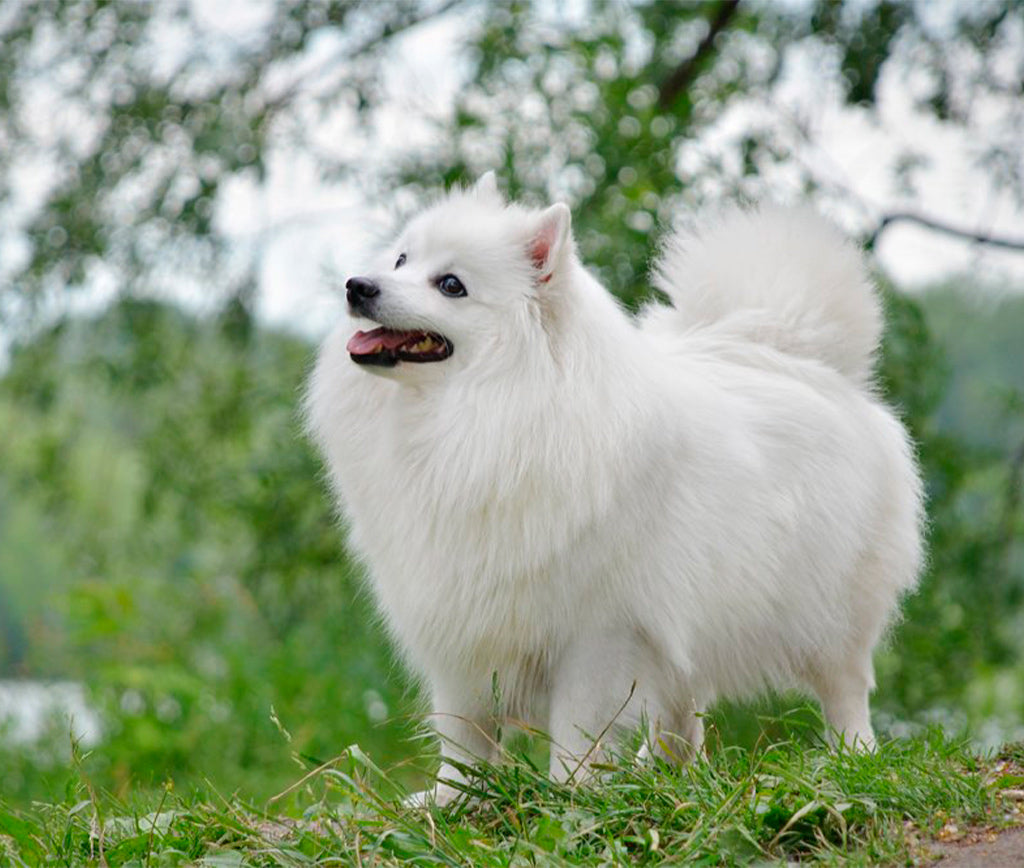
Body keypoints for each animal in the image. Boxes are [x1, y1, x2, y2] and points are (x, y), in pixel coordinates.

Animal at [303, 176, 921, 806]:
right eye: (402, 260)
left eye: (451, 285)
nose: (358, 285)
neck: (479, 419)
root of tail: (796, 356)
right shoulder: (460, 630)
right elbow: (464, 734)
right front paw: (451, 799)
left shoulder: (599, 633)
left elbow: (577, 726)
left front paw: (569, 794)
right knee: (683, 713)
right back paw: (668, 775)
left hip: (829, 615)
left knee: (845, 689)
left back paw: (852, 757)